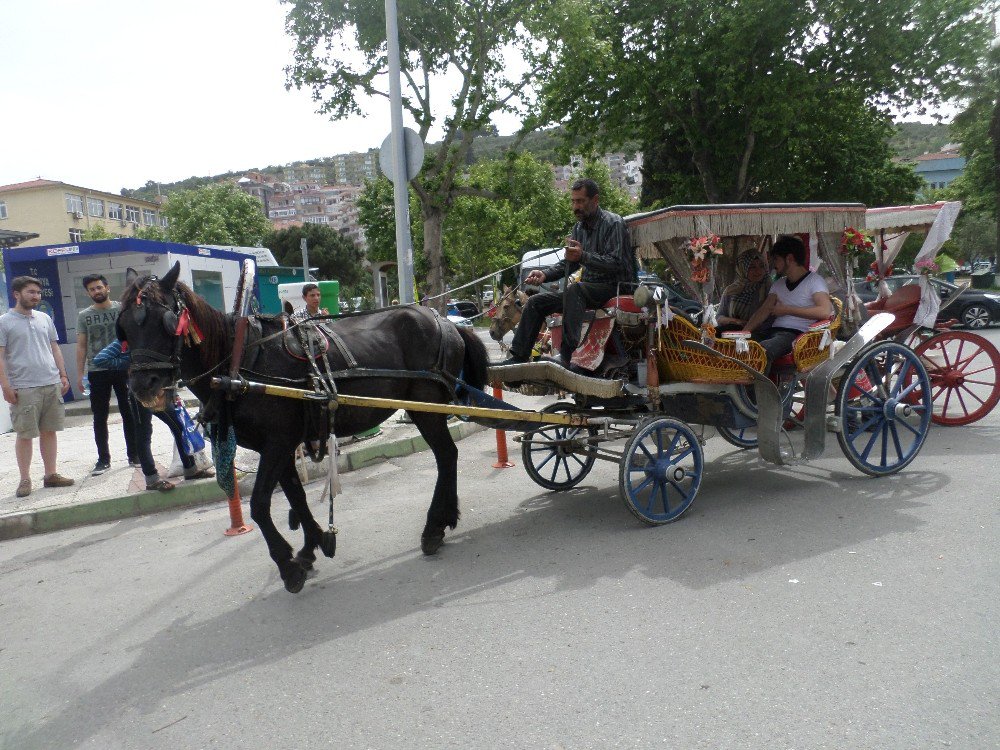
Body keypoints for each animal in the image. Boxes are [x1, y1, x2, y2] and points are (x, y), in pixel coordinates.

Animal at [118, 262, 488, 592]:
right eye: (122, 328)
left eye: (166, 320)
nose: (142, 387)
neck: (239, 361)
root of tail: (447, 322)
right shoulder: (279, 445)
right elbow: (295, 496)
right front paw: (313, 544)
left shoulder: (278, 442)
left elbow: (260, 505)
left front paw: (287, 565)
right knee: (447, 456)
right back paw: (444, 520)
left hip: (427, 409)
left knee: (446, 455)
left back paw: (433, 527)